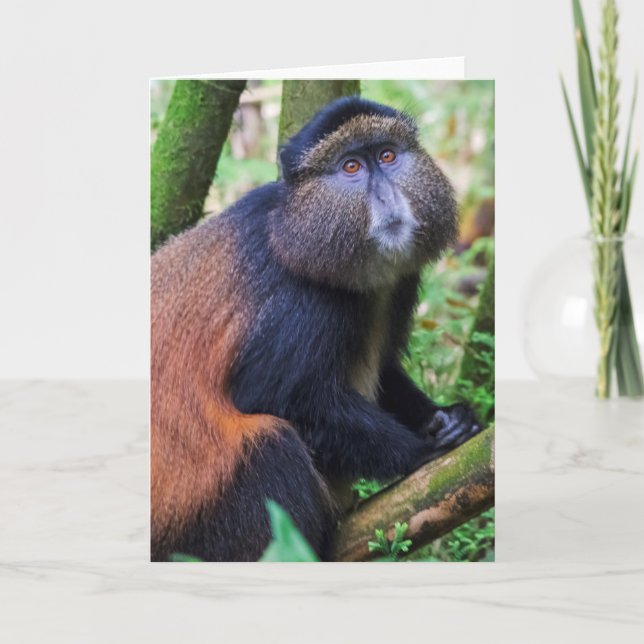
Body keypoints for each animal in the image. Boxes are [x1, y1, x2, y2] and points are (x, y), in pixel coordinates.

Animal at [151, 96, 482, 562]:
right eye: (350, 167)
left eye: (387, 156)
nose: (387, 196)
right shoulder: (301, 301)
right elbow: (270, 395)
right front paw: (422, 449)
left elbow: (386, 373)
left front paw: (448, 418)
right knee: (272, 446)